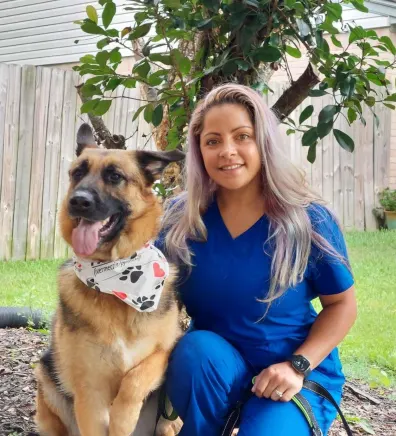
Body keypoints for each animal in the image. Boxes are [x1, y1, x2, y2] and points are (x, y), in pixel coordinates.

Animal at [35, 123, 184, 436]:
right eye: (77, 173)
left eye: (115, 176)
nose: (77, 201)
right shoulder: (90, 393)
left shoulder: (165, 350)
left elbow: (135, 380)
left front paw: (122, 417)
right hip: (46, 375)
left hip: (169, 416)